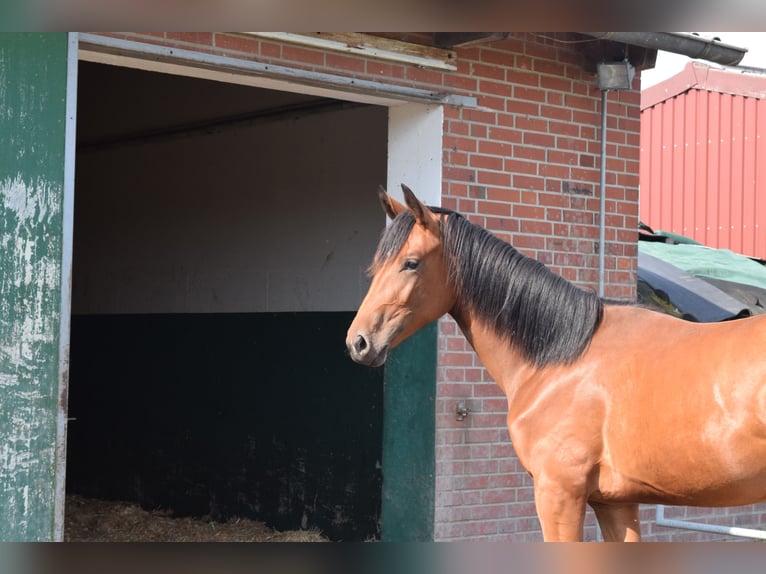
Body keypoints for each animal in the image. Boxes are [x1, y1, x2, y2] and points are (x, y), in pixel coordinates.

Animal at [350, 186, 766, 544]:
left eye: (411, 263)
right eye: (376, 265)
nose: (358, 341)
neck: (561, 359)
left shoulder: (558, 495)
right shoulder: (615, 503)